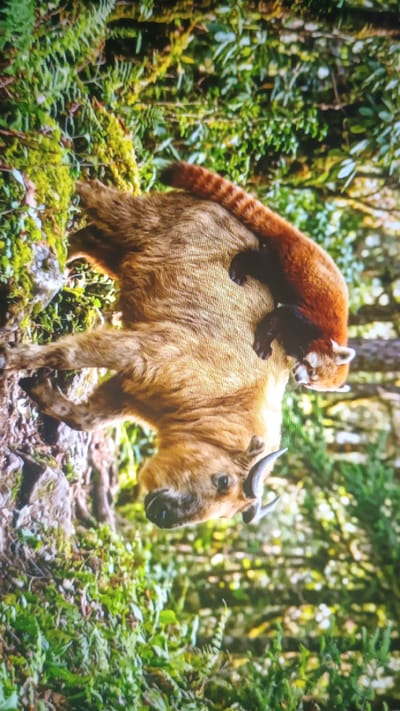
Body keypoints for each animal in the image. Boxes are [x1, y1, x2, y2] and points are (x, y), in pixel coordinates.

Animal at [0, 179, 290, 527]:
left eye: (223, 513)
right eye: (222, 481)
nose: (163, 516)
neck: (228, 399)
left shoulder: (129, 393)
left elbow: (85, 420)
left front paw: (39, 388)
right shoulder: (147, 350)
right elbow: (70, 355)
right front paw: (12, 359)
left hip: (124, 256)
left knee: (85, 239)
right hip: (136, 221)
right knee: (96, 193)